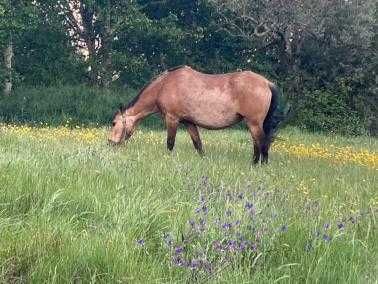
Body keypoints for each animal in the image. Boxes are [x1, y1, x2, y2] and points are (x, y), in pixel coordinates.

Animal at [107, 65, 284, 164]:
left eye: (114, 123)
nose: (110, 143)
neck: (164, 86)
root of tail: (266, 83)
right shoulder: (189, 122)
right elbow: (198, 145)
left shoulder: (172, 119)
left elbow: (170, 143)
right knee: (258, 144)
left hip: (253, 123)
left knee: (262, 143)